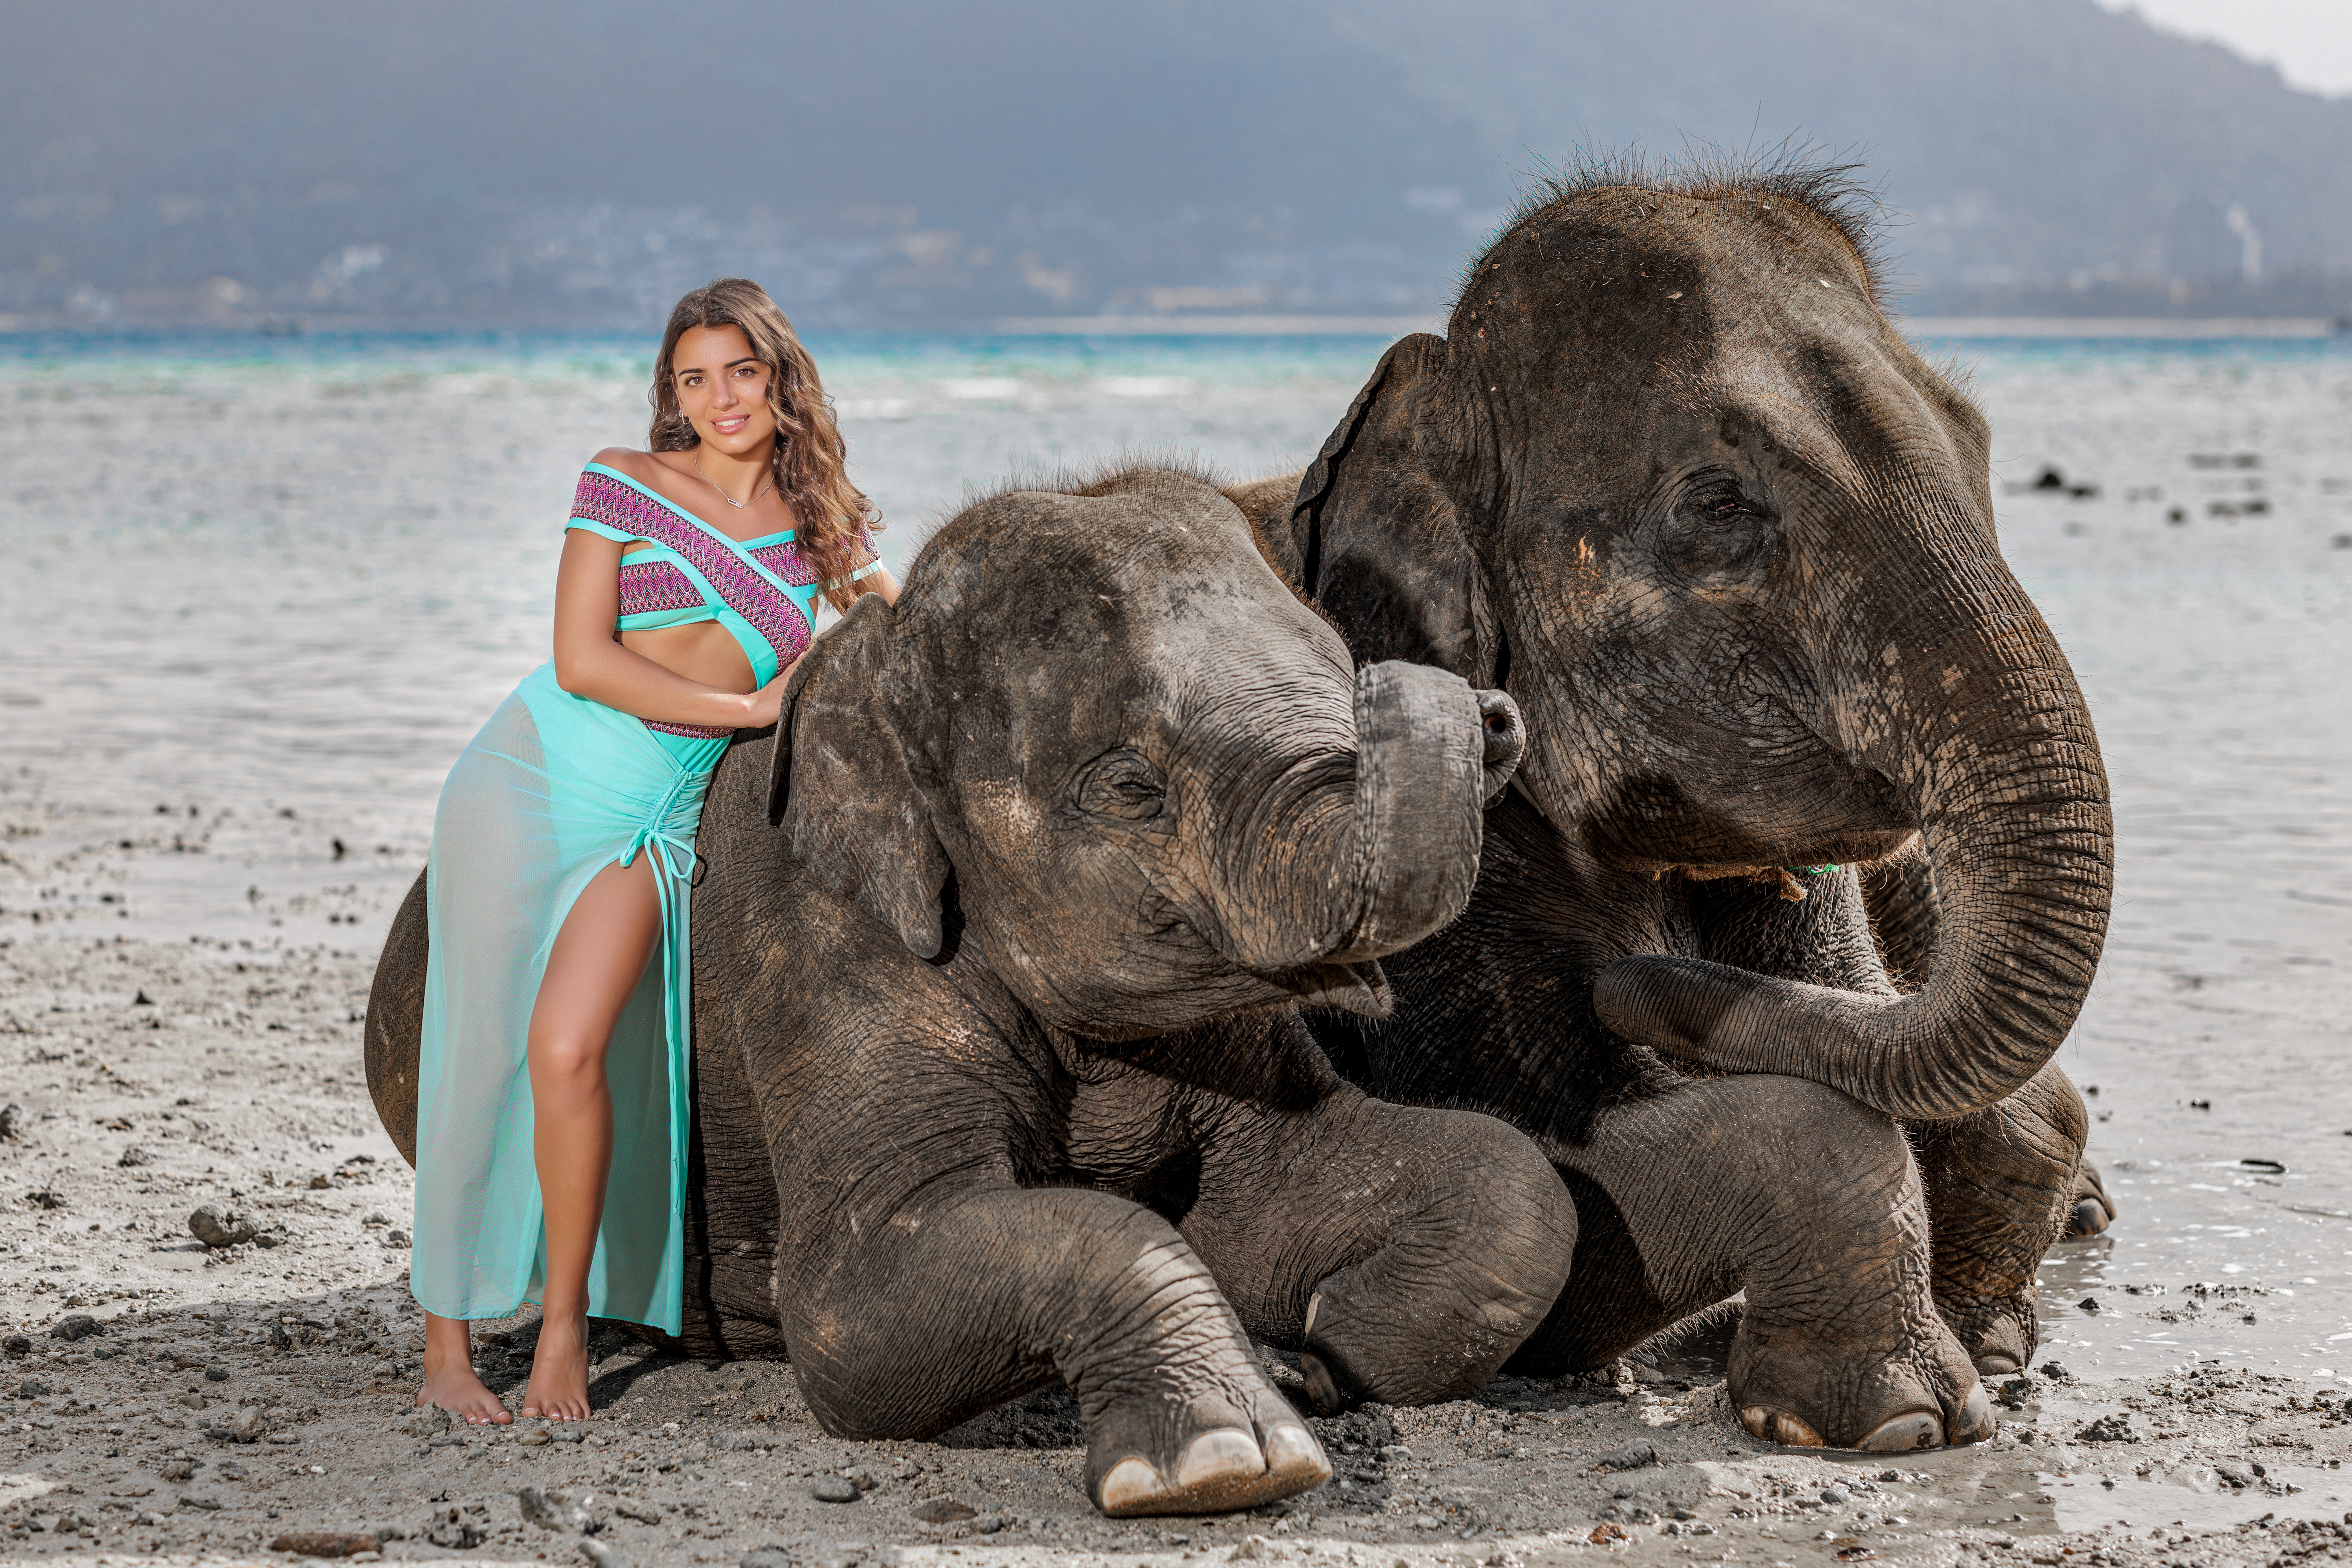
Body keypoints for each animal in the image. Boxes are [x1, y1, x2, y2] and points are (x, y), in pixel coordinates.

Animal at [366, 466, 1577, 1517]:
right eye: (1128, 785)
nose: (1486, 709)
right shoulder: (818, 950)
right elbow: (855, 1307)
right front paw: (1224, 1455)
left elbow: (1495, 1185)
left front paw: (1307, 1353)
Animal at [1229, 157, 2115, 1451]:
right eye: (1718, 504)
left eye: (1977, 440)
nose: (1628, 983)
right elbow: (1546, 1156)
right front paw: (1900, 1417)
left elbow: (1966, 1081)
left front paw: (1986, 1351)